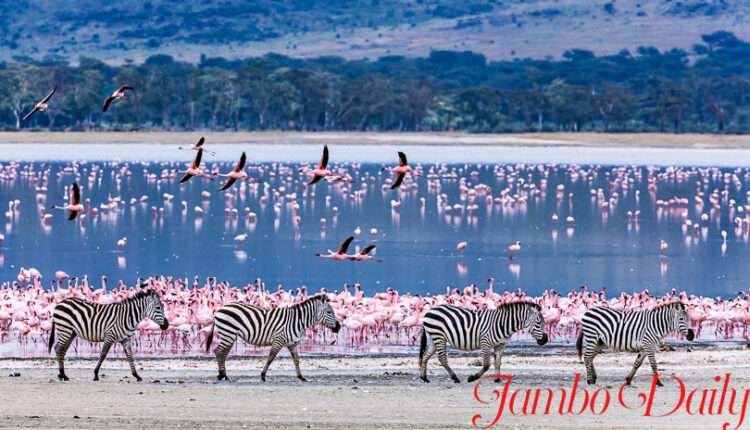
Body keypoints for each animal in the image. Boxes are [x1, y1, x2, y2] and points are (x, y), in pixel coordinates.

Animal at [209, 294, 344, 382]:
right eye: (329, 312)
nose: (338, 327)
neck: (297, 321)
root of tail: (220, 309)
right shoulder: (279, 339)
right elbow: (271, 358)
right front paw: (263, 376)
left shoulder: (292, 344)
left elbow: (296, 360)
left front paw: (301, 377)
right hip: (228, 333)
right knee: (218, 351)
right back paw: (221, 375)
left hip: (230, 335)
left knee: (223, 353)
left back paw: (224, 375)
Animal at [420, 302, 548, 382]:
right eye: (538, 323)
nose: (545, 340)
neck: (503, 324)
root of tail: (429, 311)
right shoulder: (485, 343)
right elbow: (486, 365)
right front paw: (473, 378)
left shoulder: (500, 345)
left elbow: (498, 363)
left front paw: (497, 379)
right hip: (439, 336)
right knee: (442, 358)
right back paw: (455, 378)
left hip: (434, 338)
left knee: (426, 355)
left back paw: (424, 377)